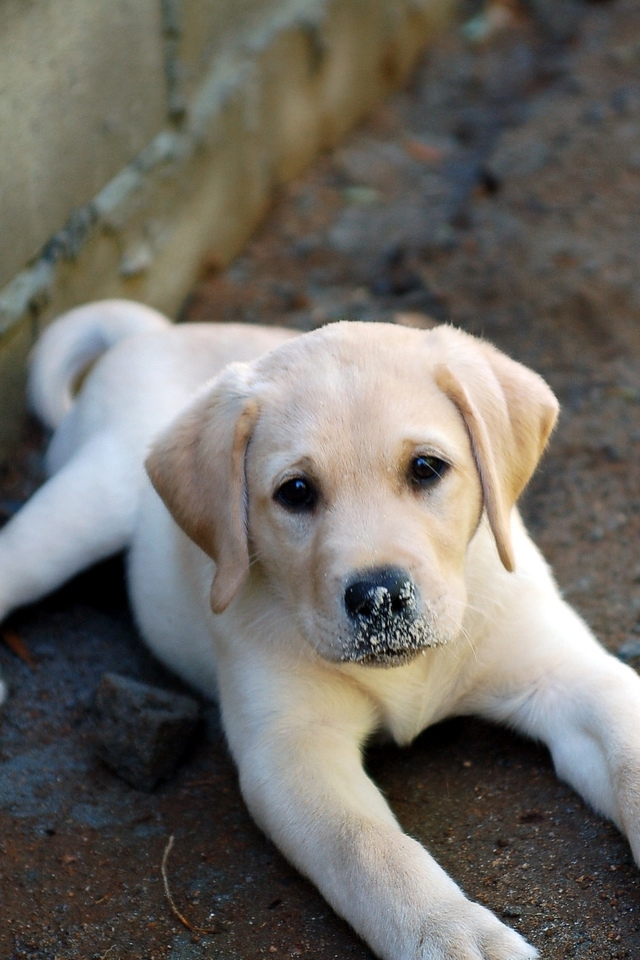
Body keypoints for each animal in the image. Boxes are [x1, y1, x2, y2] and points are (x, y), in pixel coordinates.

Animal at [1, 296, 640, 956]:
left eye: (426, 468)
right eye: (296, 491)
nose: (379, 596)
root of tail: (152, 334)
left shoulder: (569, 676)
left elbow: (629, 759)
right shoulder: (292, 749)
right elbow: (369, 849)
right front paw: (451, 934)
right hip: (90, 500)